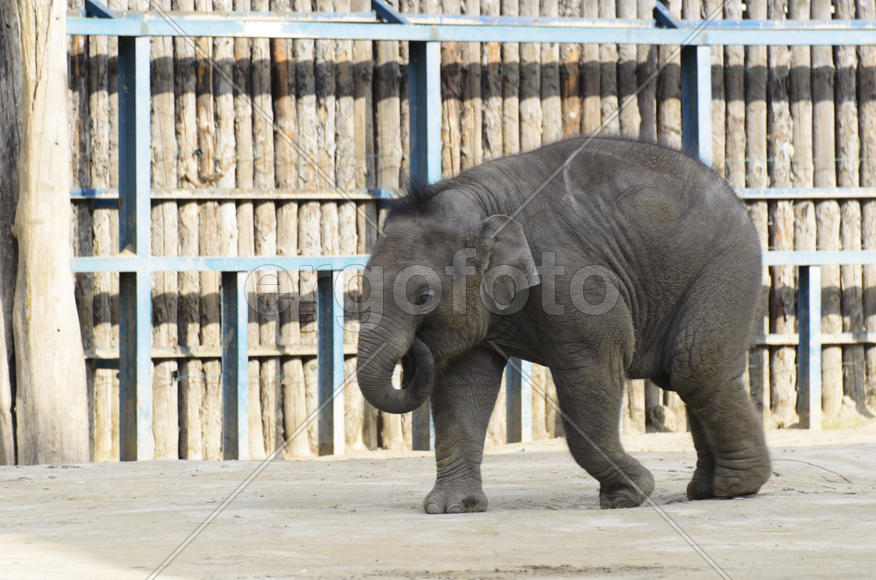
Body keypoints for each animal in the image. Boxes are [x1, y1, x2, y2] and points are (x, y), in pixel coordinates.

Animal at [355, 135, 771, 514]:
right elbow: (463, 383)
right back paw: (708, 490)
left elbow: (592, 370)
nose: (415, 348)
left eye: (423, 296)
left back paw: (732, 488)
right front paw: (453, 508)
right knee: (685, 375)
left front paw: (629, 495)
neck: (479, 201)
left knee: (694, 368)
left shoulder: (576, 281)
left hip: (726, 265)